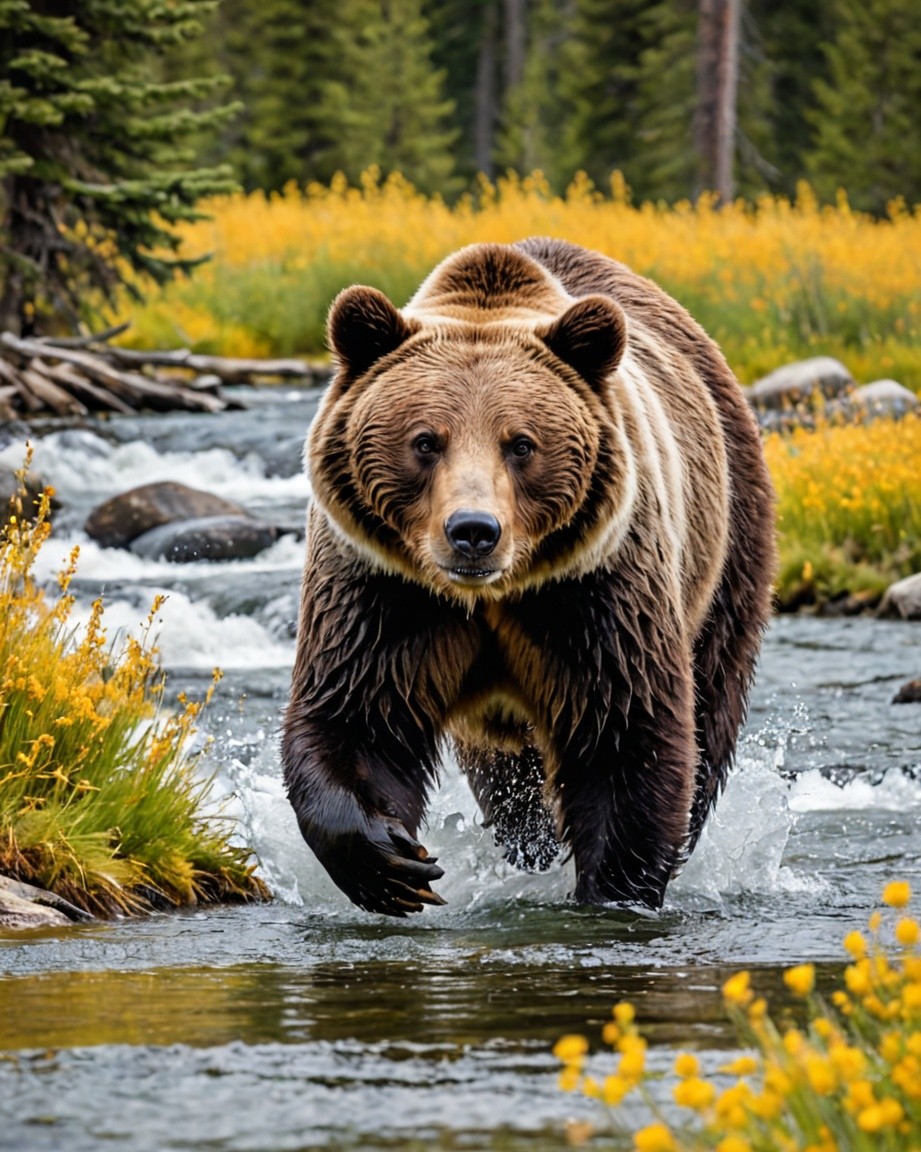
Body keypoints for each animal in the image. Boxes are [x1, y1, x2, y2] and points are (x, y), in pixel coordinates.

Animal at [282, 237, 775, 917]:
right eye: (425, 441)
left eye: (520, 443)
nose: (473, 530)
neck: (490, 595)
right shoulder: (385, 589)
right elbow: (359, 714)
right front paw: (393, 863)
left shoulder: (595, 592)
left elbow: (626, 733)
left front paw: (613, 893)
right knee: (506, 774)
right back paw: (527, 842)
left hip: (725, 541)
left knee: (711, 708)